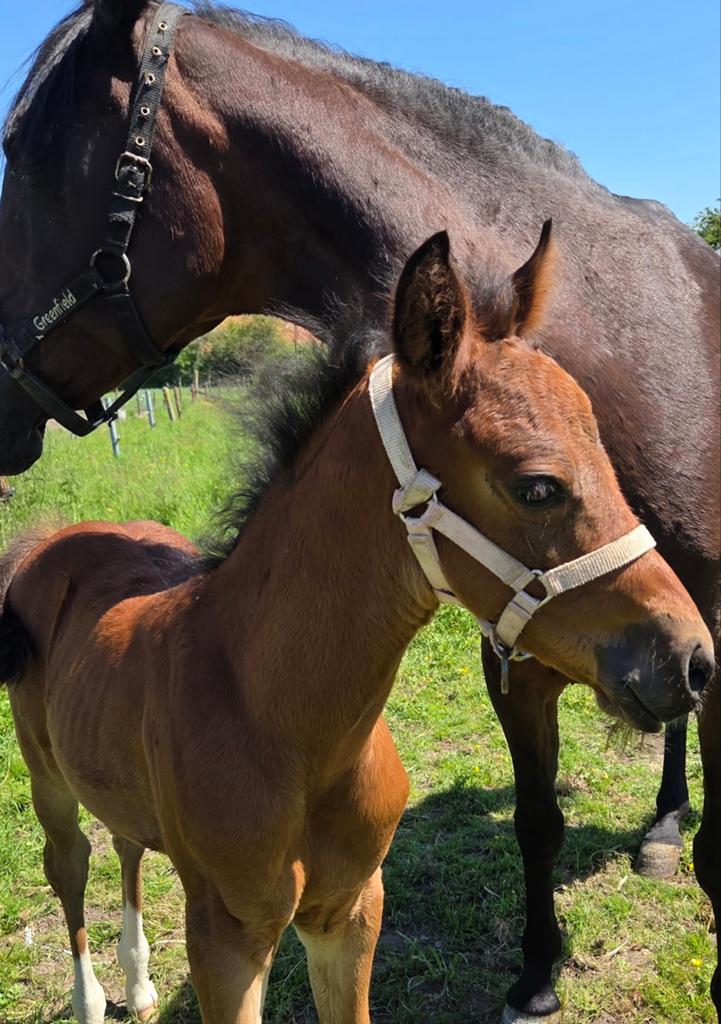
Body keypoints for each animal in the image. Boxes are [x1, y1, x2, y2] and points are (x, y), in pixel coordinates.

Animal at [0, 2, 718, 1018]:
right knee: (77, 861)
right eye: (537, 485)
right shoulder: (229, 937)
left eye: (26, 151)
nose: (690, 655)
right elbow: (537, 820)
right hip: (49, 779)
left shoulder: (349, 911)